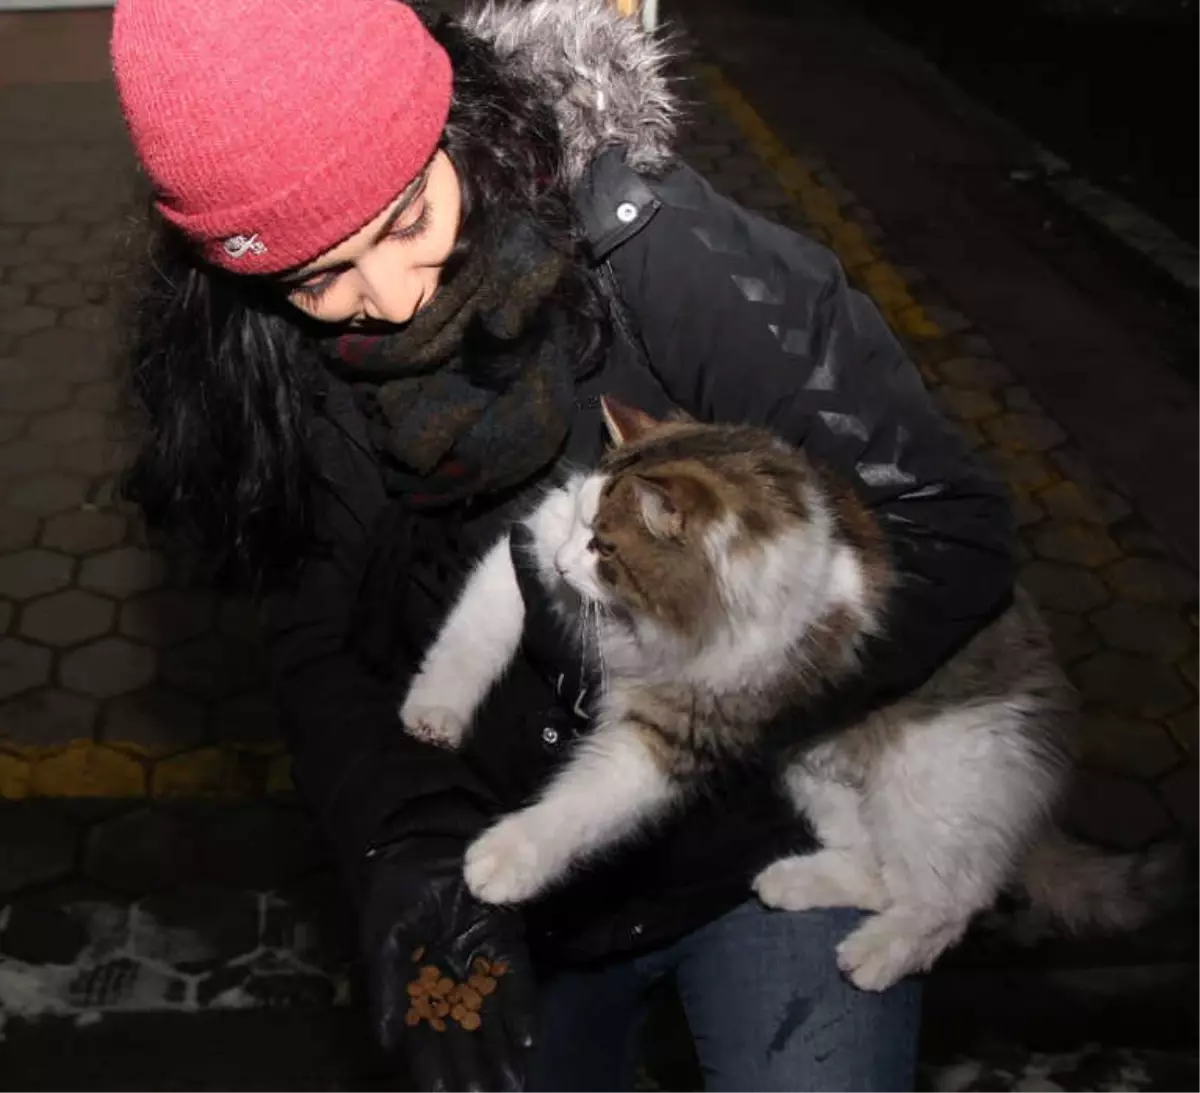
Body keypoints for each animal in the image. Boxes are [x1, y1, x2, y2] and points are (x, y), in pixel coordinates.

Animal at [400, 400, 1171, 993]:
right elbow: (471, 634)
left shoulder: (684, 731)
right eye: (579, 530)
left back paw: (879, 953)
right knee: (881, 871)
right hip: (816, 774)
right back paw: (793, 882)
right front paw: (435, 709)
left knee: (948, 899)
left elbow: (582, 806)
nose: (566, 563)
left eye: (605, 548)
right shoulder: (527, 550)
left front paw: (508, 857)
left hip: (933, 787)